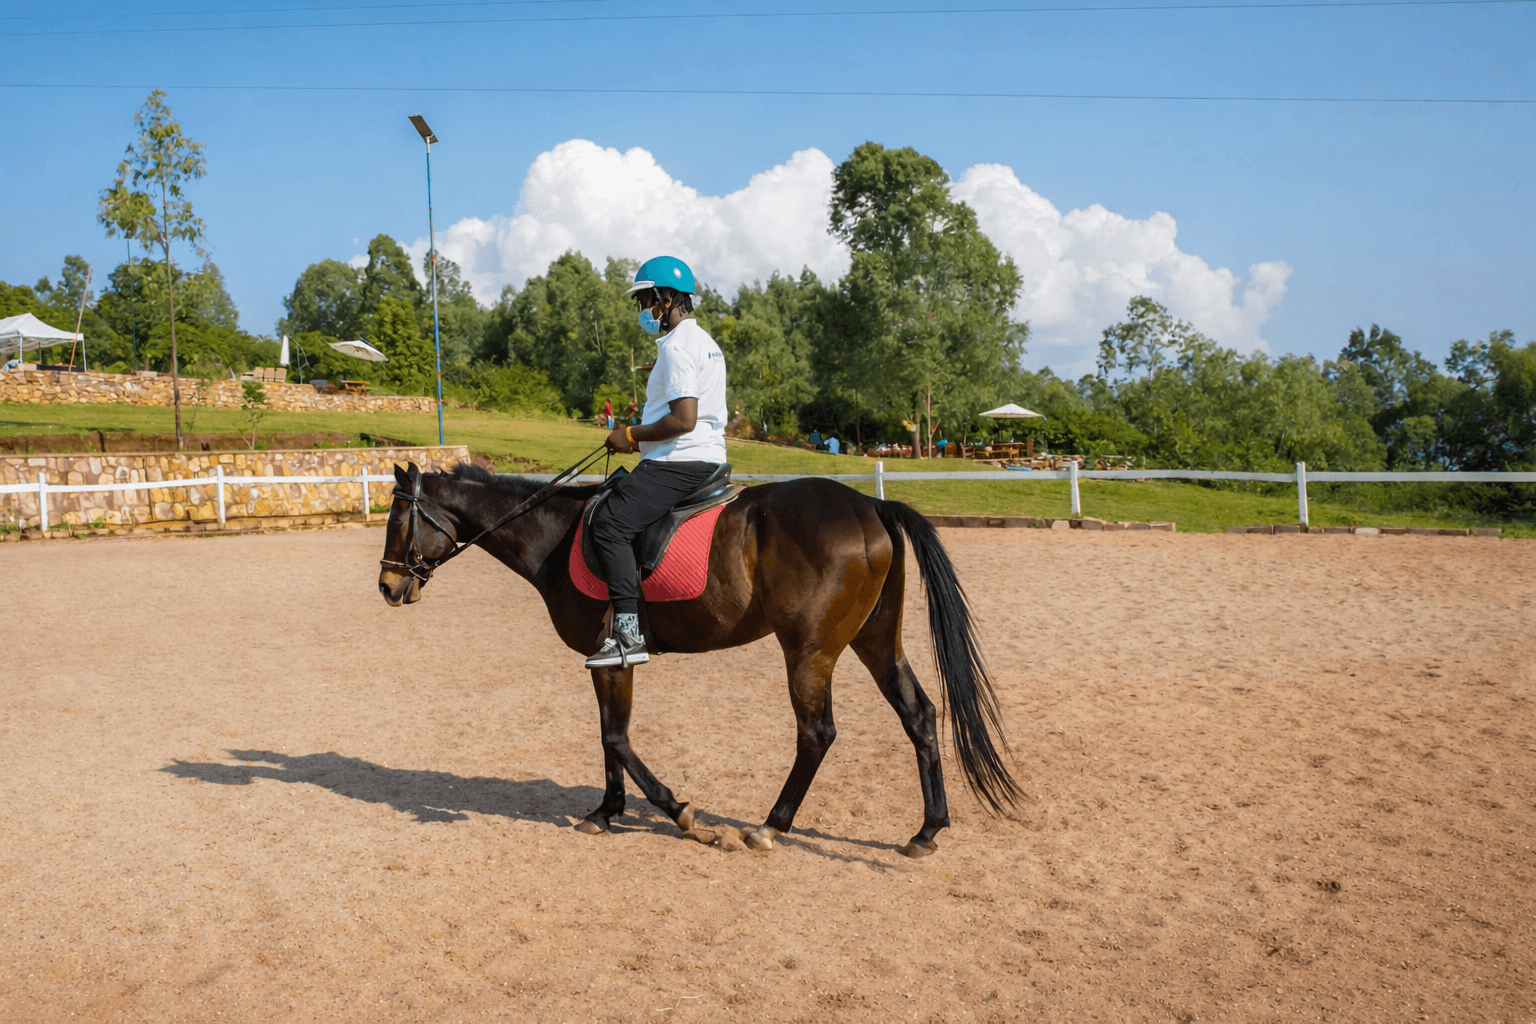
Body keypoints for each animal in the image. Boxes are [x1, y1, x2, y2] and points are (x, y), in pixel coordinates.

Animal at [377, 461, 1019, 857]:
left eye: (398, 519)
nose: (386, 587)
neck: (556, 536)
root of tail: (868, 505)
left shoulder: (611, 654)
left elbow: (616, 739)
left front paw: (680, 812)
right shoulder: (610, 662)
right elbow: (611, 735)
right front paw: (607, 811)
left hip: (809, 649)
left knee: (817, 732)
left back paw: (769, 827)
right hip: (874, 640)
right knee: (919, 714)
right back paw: (927, 829)